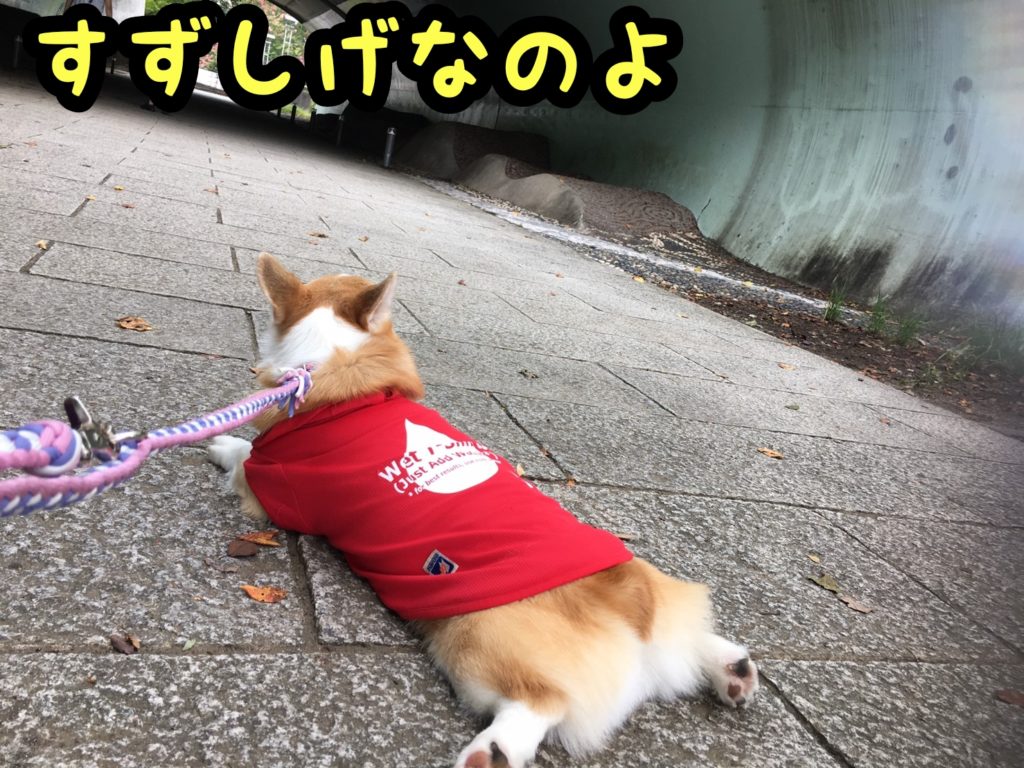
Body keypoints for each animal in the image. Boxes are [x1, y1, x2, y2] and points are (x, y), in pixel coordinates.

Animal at [208, 253, 759, 768]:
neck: (338, 361)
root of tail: (629, 603)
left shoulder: (271, 485)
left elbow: (242, 458)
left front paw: (220, 442)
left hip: (474, 646)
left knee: (542, 701)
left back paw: (492, 751)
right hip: (659, 601)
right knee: (688, 639)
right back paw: (733, 668)